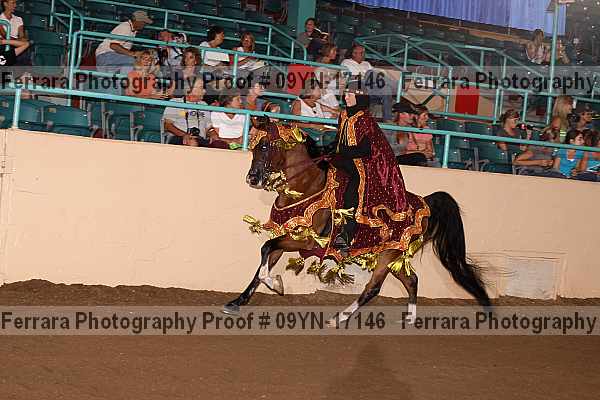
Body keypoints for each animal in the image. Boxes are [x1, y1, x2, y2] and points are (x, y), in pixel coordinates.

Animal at [223, 121, 490, 324]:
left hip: (388, 254)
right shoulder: (288, 233)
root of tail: (425, 203)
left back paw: (339, 318)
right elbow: (263, 263)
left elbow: (265, 250)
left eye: (266, 146)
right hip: (393, 255)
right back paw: (410, 318)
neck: (307, 186)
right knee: (411, 279)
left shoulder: (306, 241)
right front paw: (238, 302)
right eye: (254, 147)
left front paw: (276, 284)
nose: (252, 178)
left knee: (373, 288)